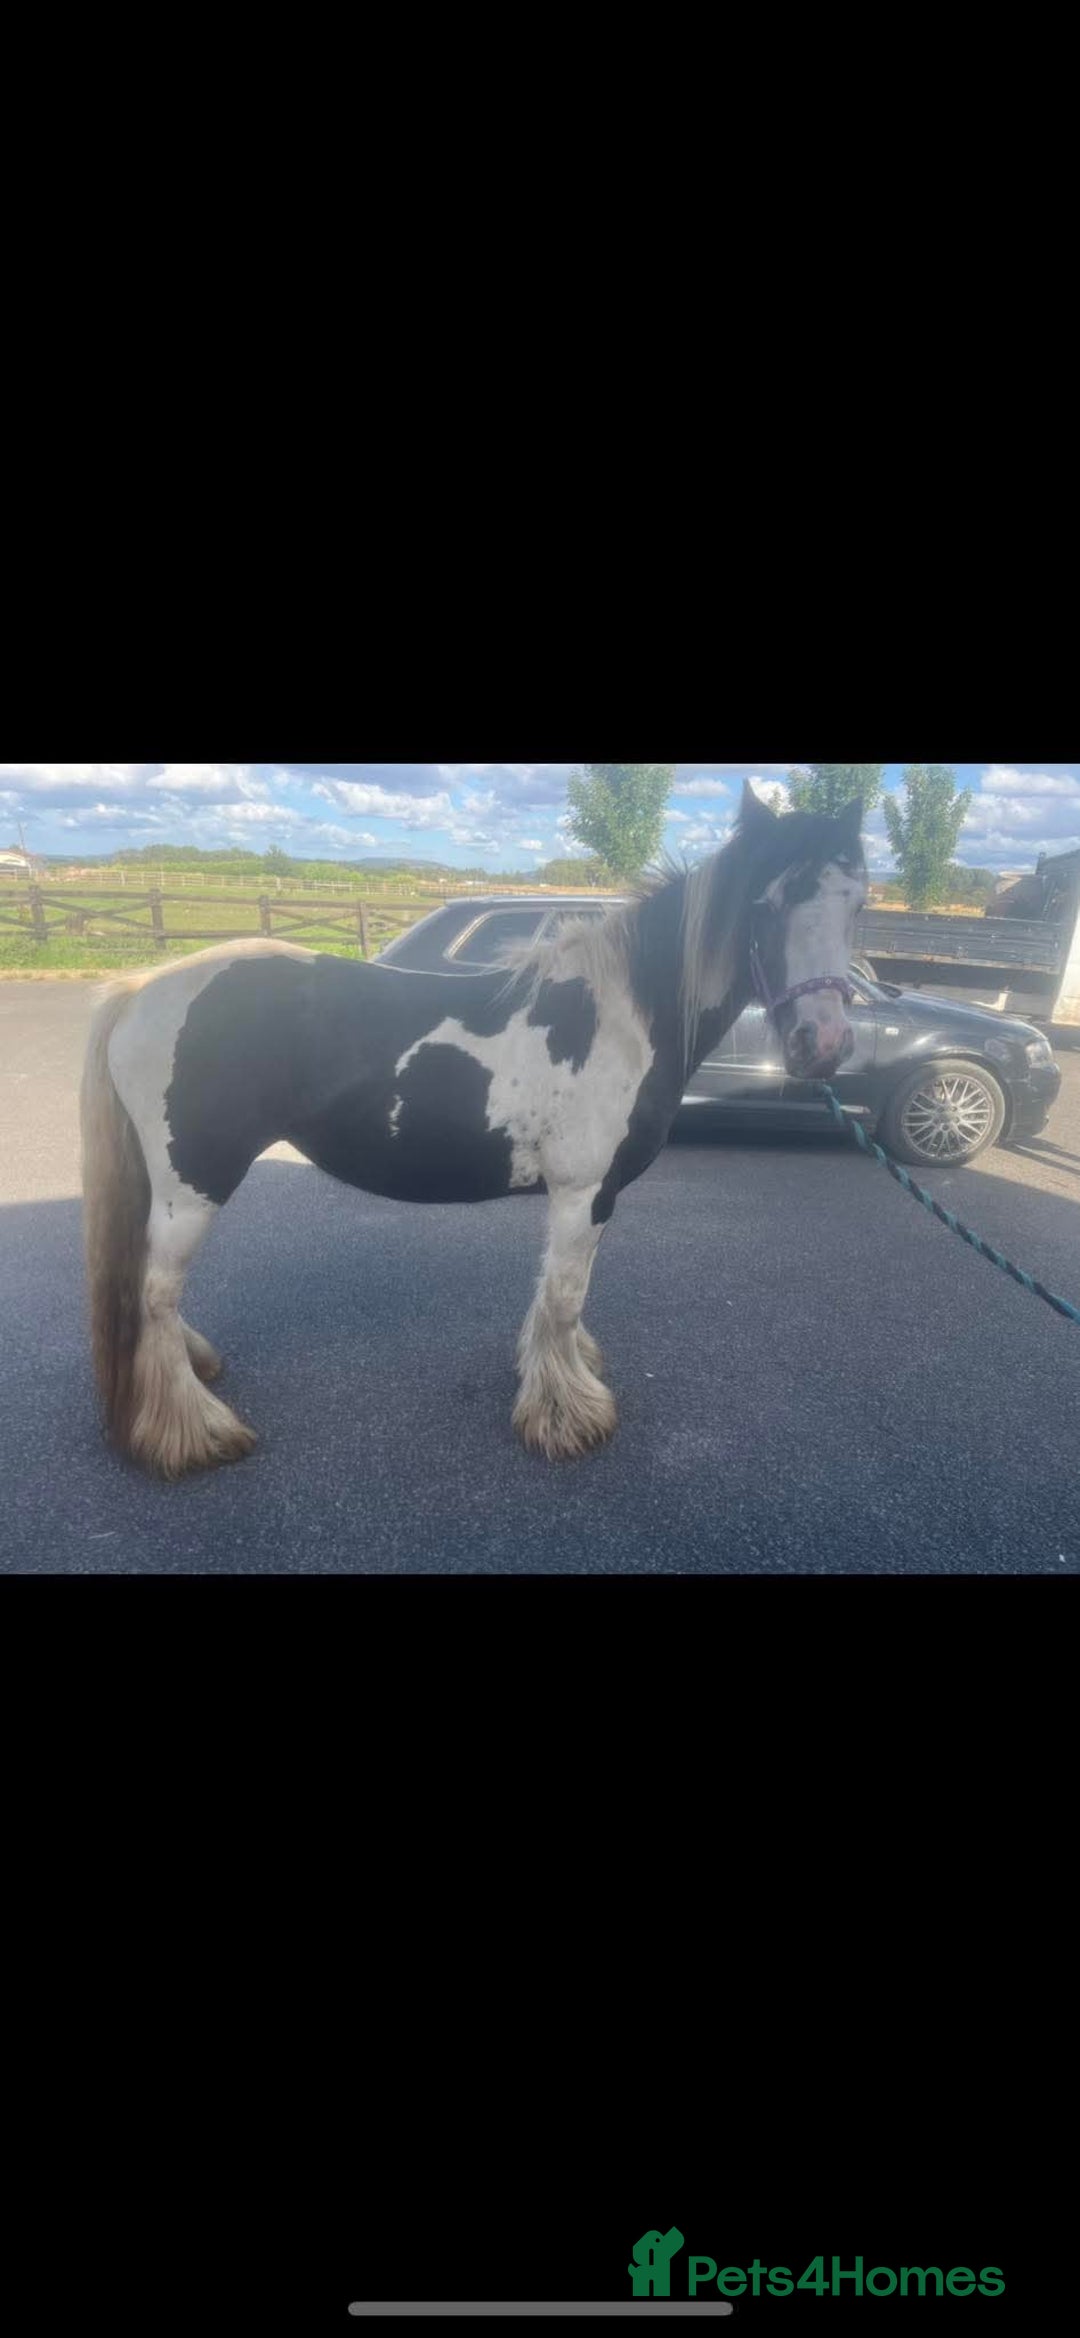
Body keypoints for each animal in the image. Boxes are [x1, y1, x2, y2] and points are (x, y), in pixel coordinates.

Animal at [80, 782, 867, 1477]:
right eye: (766, 902)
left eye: (858, 900)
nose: (822, 1042)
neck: (621, 1018)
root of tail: (140, 991)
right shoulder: (584, 1191)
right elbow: (564, 1296)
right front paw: (568, 1418)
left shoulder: (581, 1197)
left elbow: (561, 1295)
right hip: (196, 1182)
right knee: (155, 1294)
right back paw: (194, 1434)